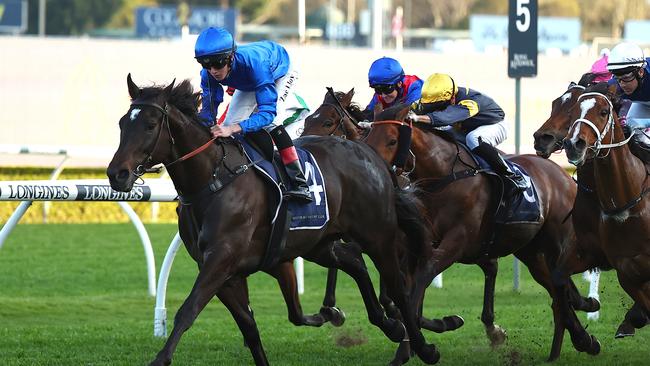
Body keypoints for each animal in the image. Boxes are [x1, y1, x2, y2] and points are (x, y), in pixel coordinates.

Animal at [107, 75, 440, 366]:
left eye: (150, 125)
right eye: (123, 123)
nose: (116, 174)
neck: (213, 180)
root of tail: (370, 153)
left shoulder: (221, 260)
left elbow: (188, 310)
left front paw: (160, 358)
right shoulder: (225, 270)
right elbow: (249, 327)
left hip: (377, 235)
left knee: (398, 286)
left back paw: (422, 346)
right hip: (317, 242)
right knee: (354, 261)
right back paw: (384, 323)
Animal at [362, 103, 600, 360]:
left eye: (392, 140)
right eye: (368, 136)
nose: (372, 169)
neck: (444, 174)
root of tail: (564, 175)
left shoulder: (458, 240)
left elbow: (423, 277)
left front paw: (422, 342)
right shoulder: (418, 244)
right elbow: (408, 289)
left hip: (556, 245)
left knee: (560, 289)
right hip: (530, 250)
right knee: (556, 290)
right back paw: (580, 339)